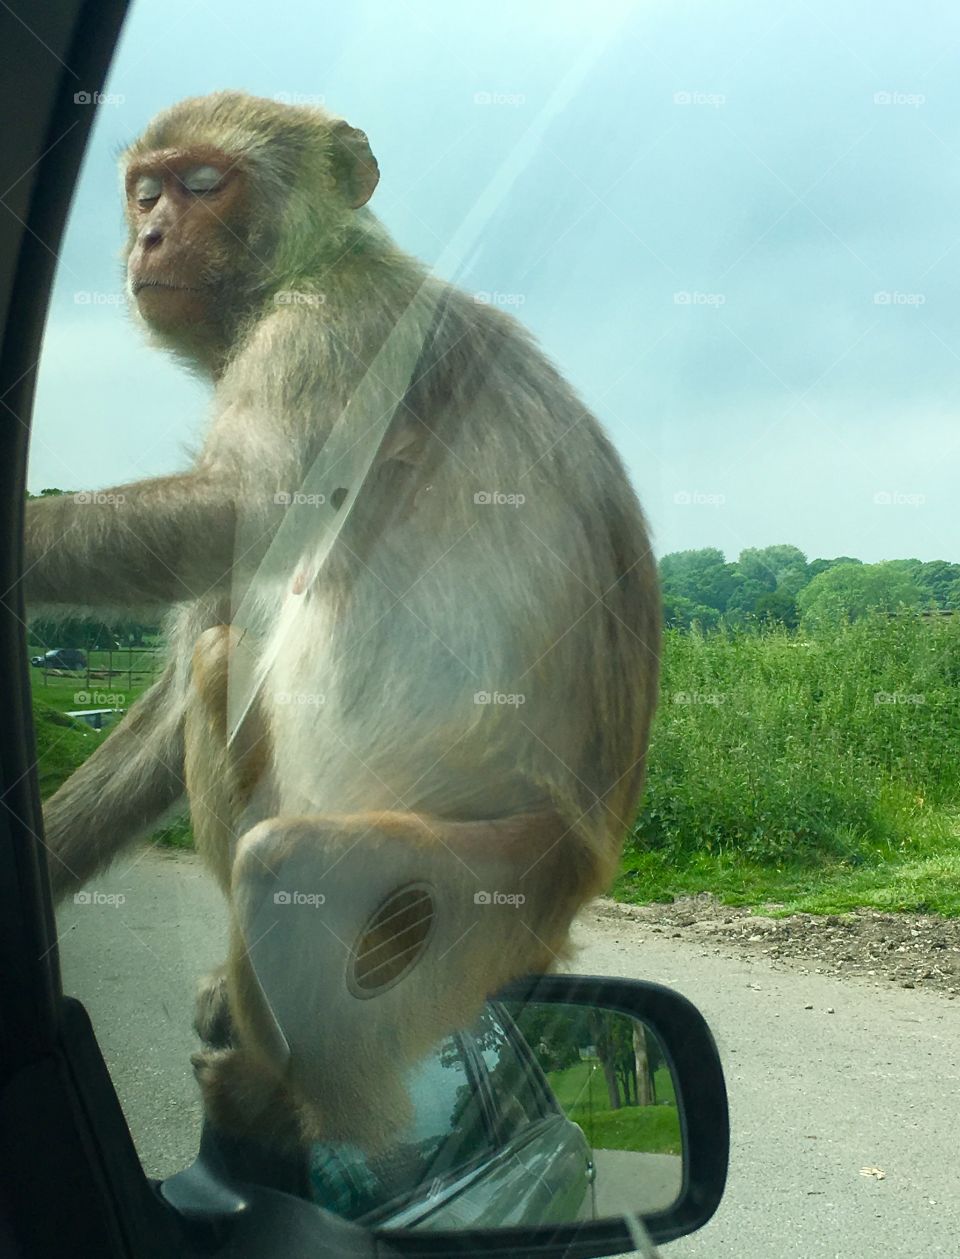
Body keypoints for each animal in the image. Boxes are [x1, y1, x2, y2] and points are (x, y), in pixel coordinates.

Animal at [28, 93, 659, 1153]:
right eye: (146, 190)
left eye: (205, 183)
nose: (148, 236)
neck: (315, 262)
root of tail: (579, 878)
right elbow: (182, 682)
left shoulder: (324, 338)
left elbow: (240, 508)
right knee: (220, 660)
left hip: (484, 904)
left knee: (289, 867)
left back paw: (302, 1109)